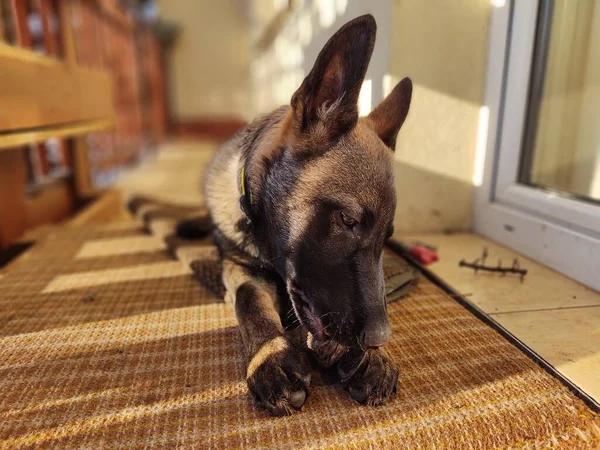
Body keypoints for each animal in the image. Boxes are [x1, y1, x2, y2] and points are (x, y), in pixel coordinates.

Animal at [199, 14, 410, 414]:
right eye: (348, 221)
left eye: (386, 238)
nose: (378, 338)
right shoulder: (237, 267)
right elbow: (250, 302)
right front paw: (270, 357)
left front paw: (375, 358)